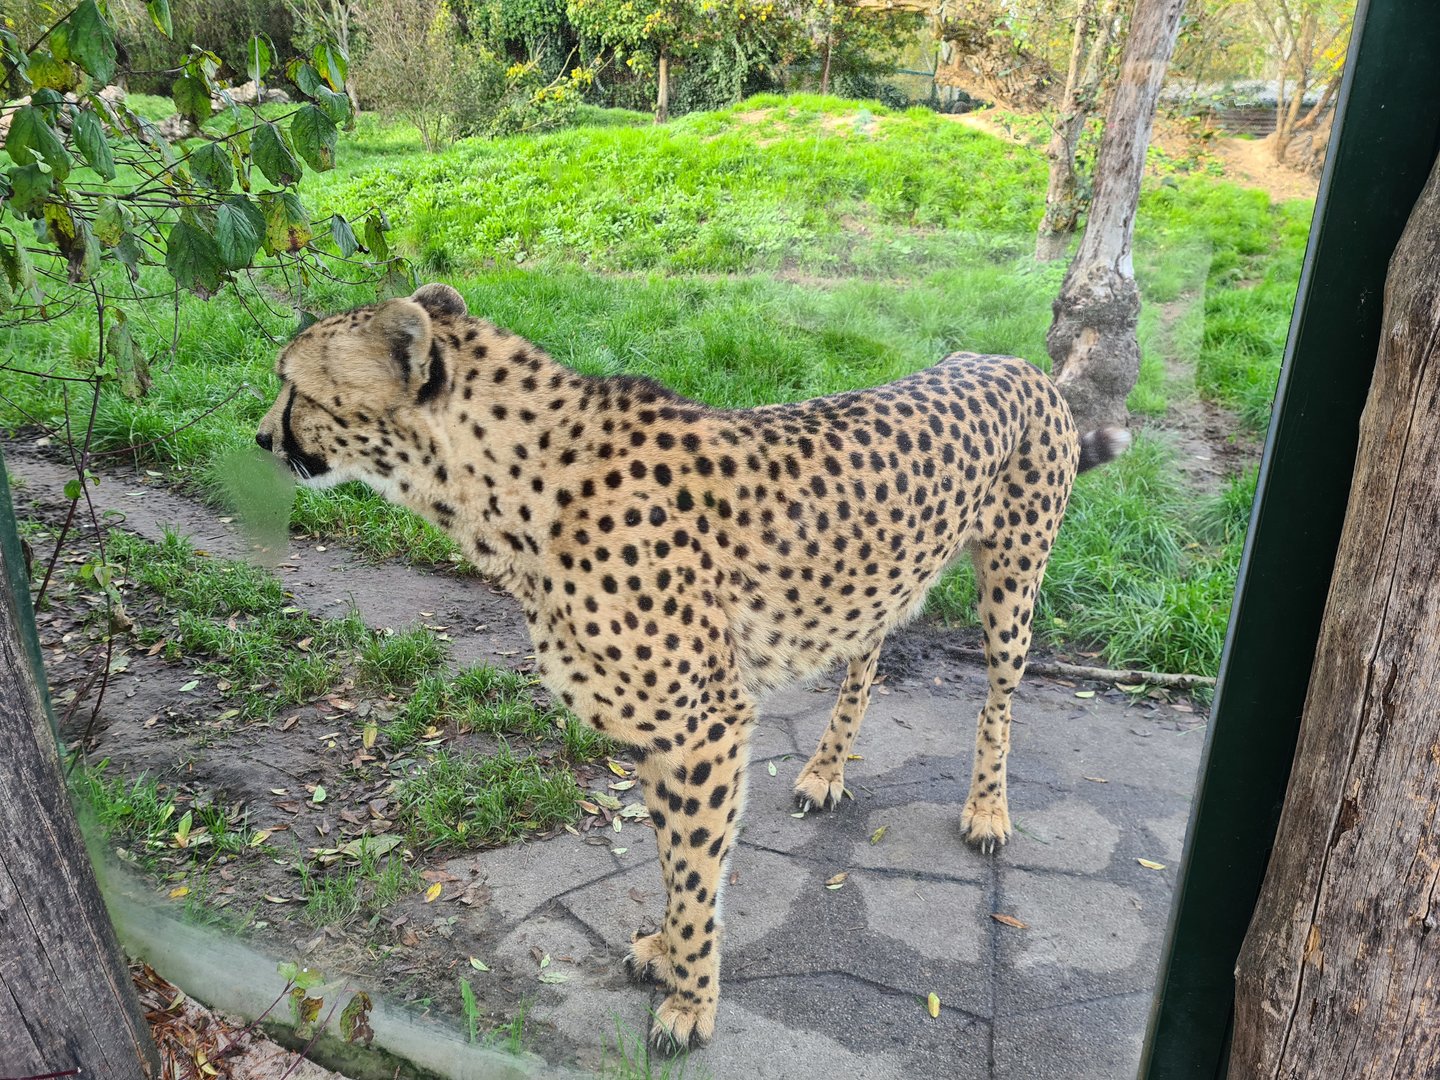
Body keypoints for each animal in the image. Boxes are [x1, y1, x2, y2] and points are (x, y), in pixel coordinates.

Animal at [254, 282, 1130, 1050]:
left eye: (293, 386)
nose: (261, 438)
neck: (519, 490)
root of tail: (1017, 364)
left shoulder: (705, 725)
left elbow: (699, 872)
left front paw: (690, 1003)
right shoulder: (660, 733)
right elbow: (675, 863)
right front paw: (668, 955)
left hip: (1012, 582)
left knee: (1000, 698)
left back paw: (987, 810)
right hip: (878, 579)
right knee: (869, 652)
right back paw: (824, 769)